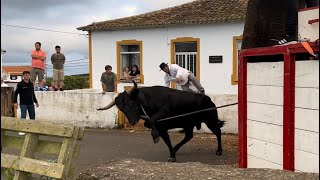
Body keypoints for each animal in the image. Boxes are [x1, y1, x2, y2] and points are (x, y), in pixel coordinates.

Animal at [97, 81, 225, 162]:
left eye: (131, 102)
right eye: (121, 109)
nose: (132, 121)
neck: (147, 101)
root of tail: (208, 99)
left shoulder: (164, 114)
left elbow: (153, 121)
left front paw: (155, 137)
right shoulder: (162, 128)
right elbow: (167, 141)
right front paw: (172, 154)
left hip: (210, 120)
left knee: (218, 132)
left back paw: (219, 151)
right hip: (189, 124)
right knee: (188, 136)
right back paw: (176, 148)